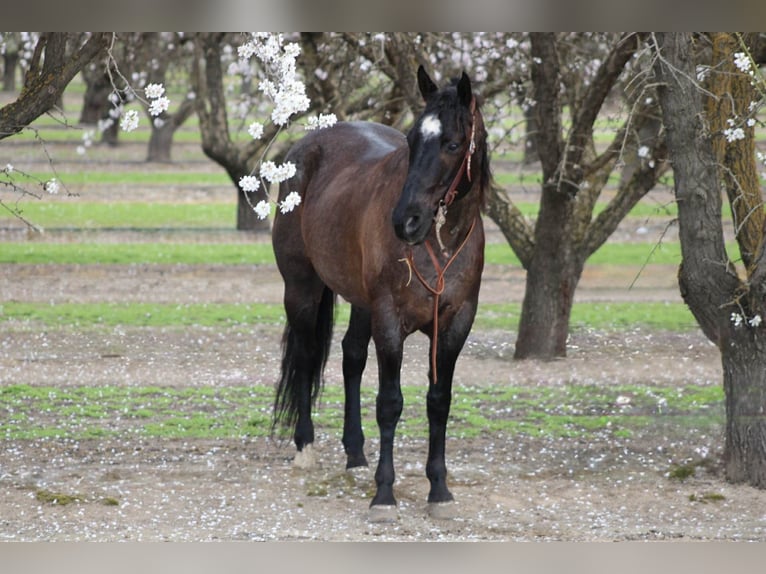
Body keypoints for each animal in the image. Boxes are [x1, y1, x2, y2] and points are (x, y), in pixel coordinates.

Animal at [271, 65, 490, 520]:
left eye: (452, 143)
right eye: (411, 140)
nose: (405, 221)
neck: (440, 244)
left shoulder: (455, 323)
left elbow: (438, 401)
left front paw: (439, 490)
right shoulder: (389, 319)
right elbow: (390, 402)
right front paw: (384, 494)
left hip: (360, 302)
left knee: (351, 357)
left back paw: (355, 454)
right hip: (301, 288)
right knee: (305, 355)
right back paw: (305, 446)